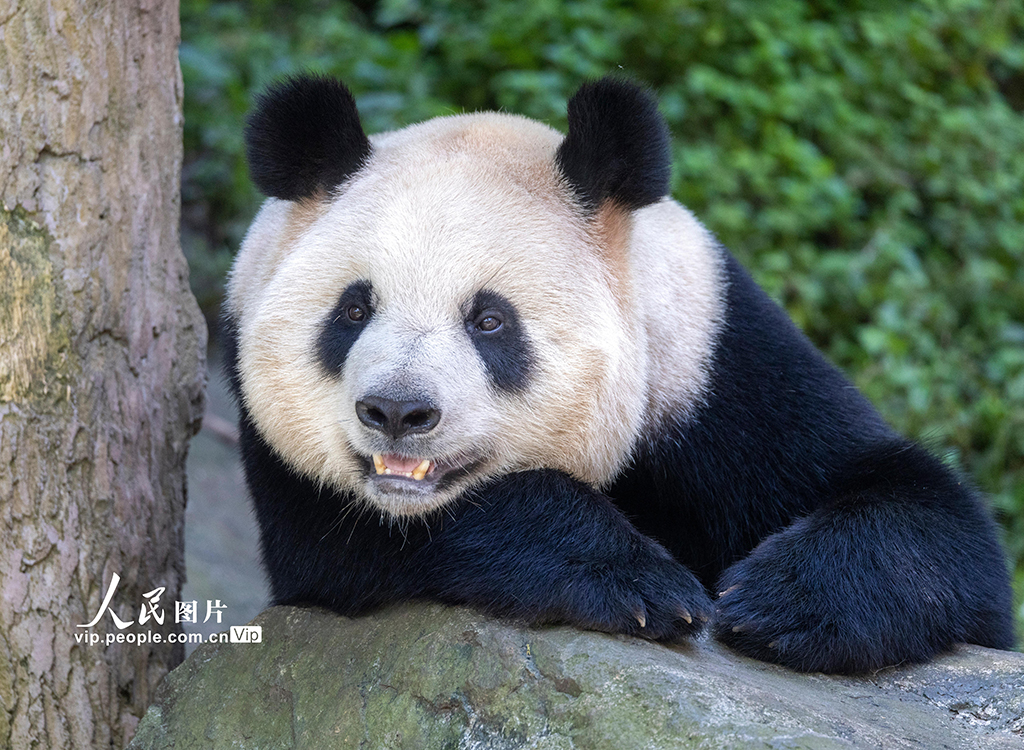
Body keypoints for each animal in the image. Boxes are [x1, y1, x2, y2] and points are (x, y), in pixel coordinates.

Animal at [220, 74, 1011, 672]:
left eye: (489, 321)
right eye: (354, 310)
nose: (397, 411)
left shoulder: (714, 360)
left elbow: (930, 516)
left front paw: (776, 603)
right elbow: (354, 541)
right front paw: (640, 583)